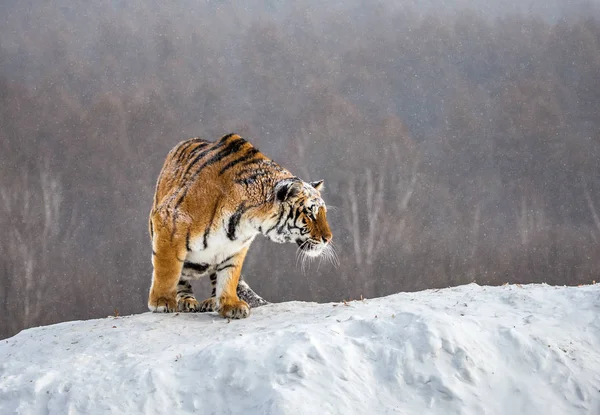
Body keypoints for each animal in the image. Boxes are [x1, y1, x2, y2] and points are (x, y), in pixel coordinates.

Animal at [146, 135, 332, 320]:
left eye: (323, 212)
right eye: (310, 214)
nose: (328, 238)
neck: (246, 221)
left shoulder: (234, 247)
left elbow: (228, 276)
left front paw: (230, 305)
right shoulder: (170, 222)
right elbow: (168, 269)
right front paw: (162, 302)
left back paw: (211, 302)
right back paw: (186, 301)